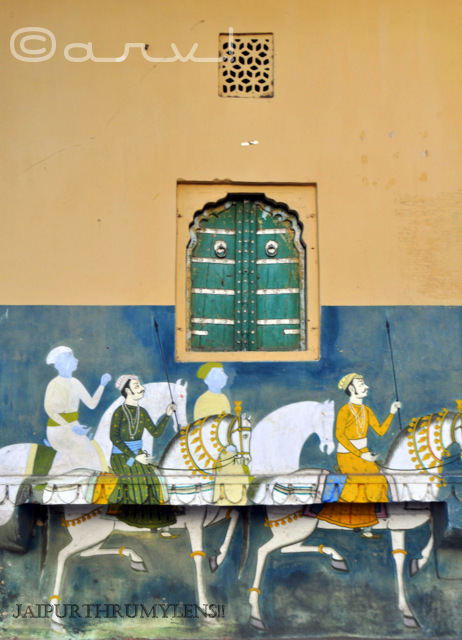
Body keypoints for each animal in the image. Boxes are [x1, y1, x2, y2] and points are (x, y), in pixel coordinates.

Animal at [249, 408, 462, 632]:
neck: (405, 478)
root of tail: (272, 481)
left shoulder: (403, 524)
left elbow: (419, 541)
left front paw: (416, 568)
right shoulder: (403, 521)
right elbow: (418, 543)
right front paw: (408, 608)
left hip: (299, 530)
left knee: (287, 549)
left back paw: (337, 559)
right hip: (295, 529)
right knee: (263, 551)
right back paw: (256, 615)